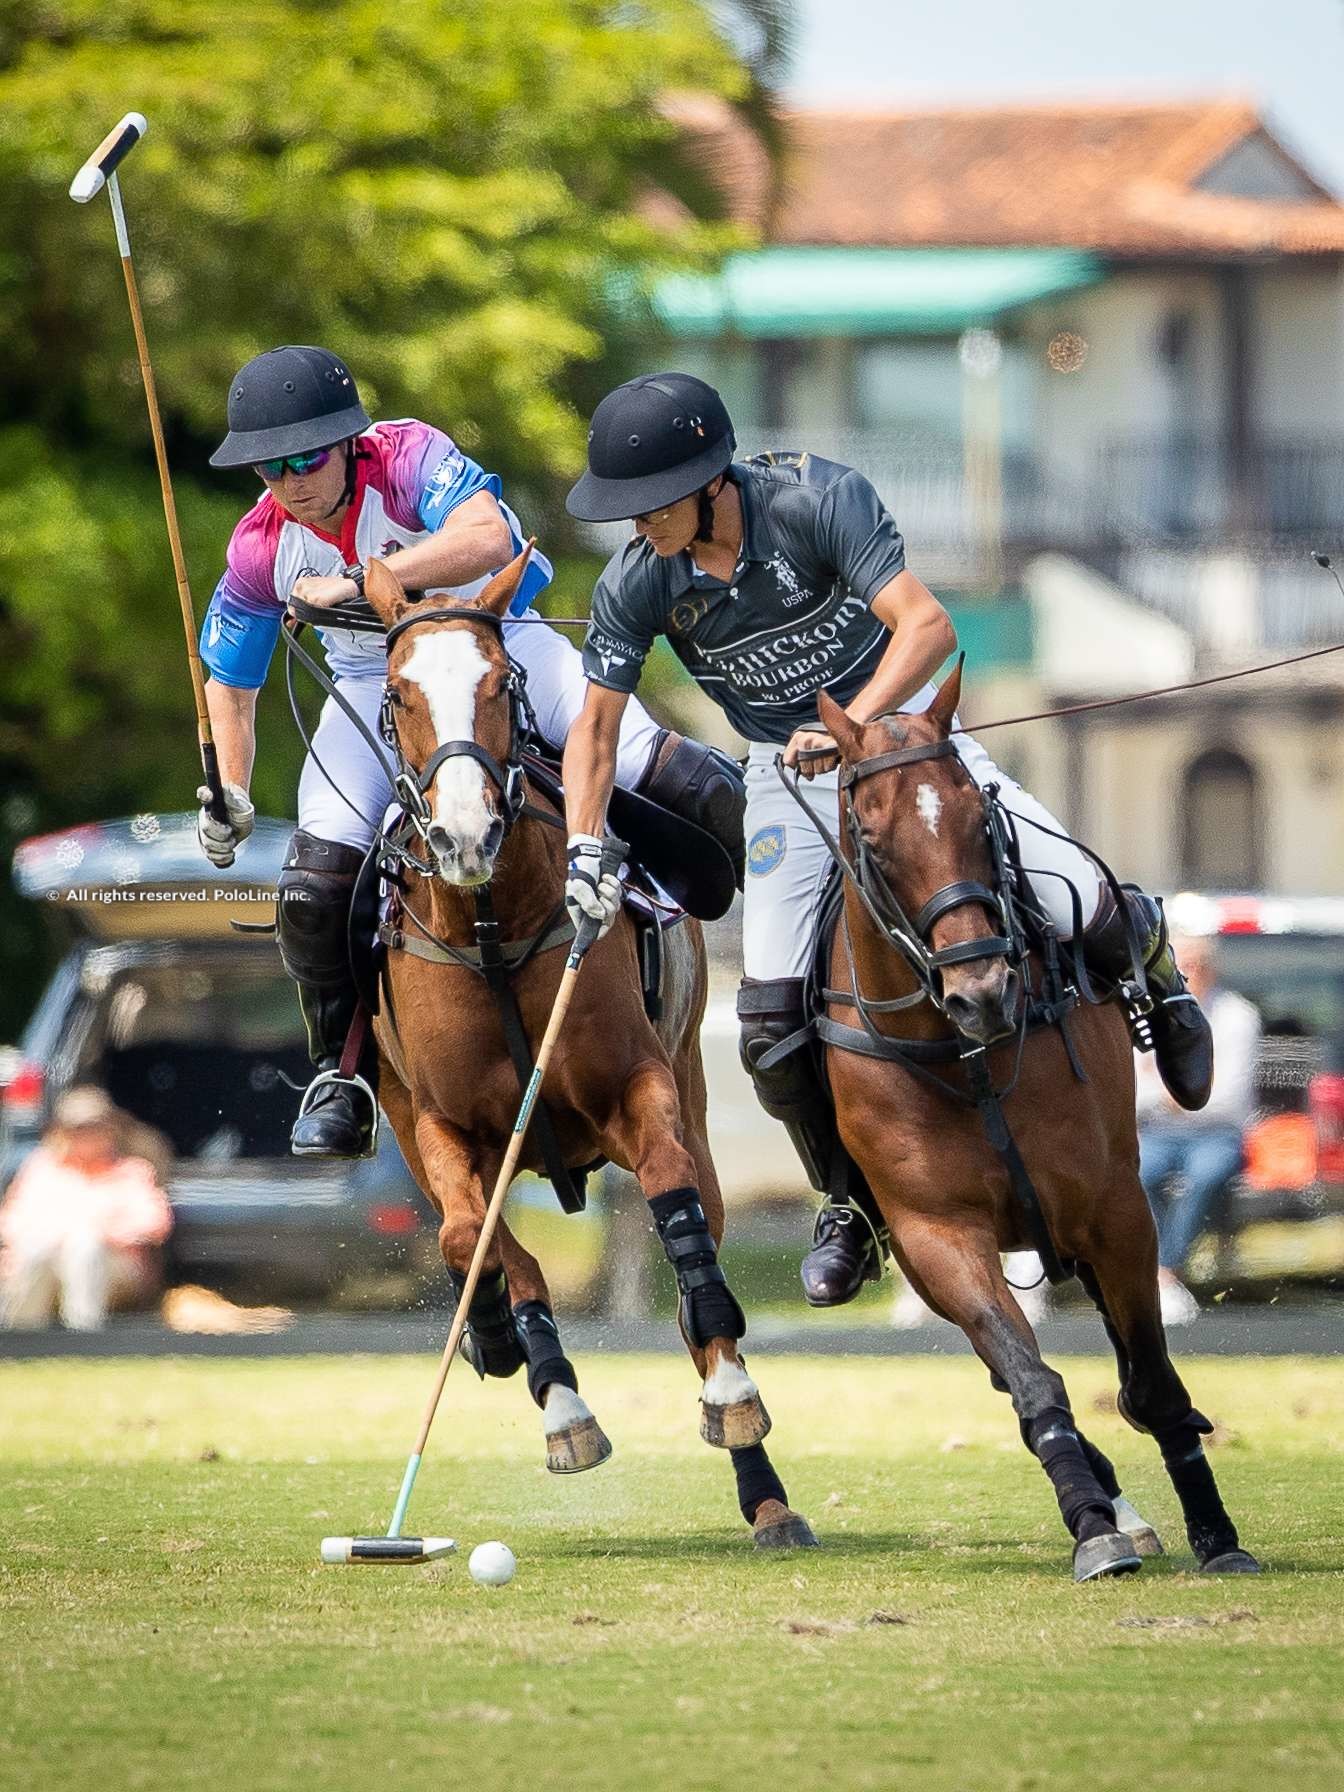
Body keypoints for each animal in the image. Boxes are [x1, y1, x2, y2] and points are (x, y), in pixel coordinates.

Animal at [363, 548, 817, 1555]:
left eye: (501, 682)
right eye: (399, 694)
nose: (464, 836)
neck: (491, 926)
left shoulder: (637, 1087)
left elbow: (679, 1221)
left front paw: (733, 1394)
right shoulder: (441, 1127)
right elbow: (472, 1238)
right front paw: (528, 1367)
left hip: (691, 1085)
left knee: (699, 1250)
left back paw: (765, 1489)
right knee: (481, 1242)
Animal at [809, 670, 1261, 1584]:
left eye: (979, 818)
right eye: (871, 837)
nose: (982, 991)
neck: (963, 1054)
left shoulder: (1116, 1208)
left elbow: (1152, 1384)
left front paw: (1217, 1532)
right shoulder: (937, 1234)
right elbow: (1029, 1379)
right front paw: (1092, 1524)